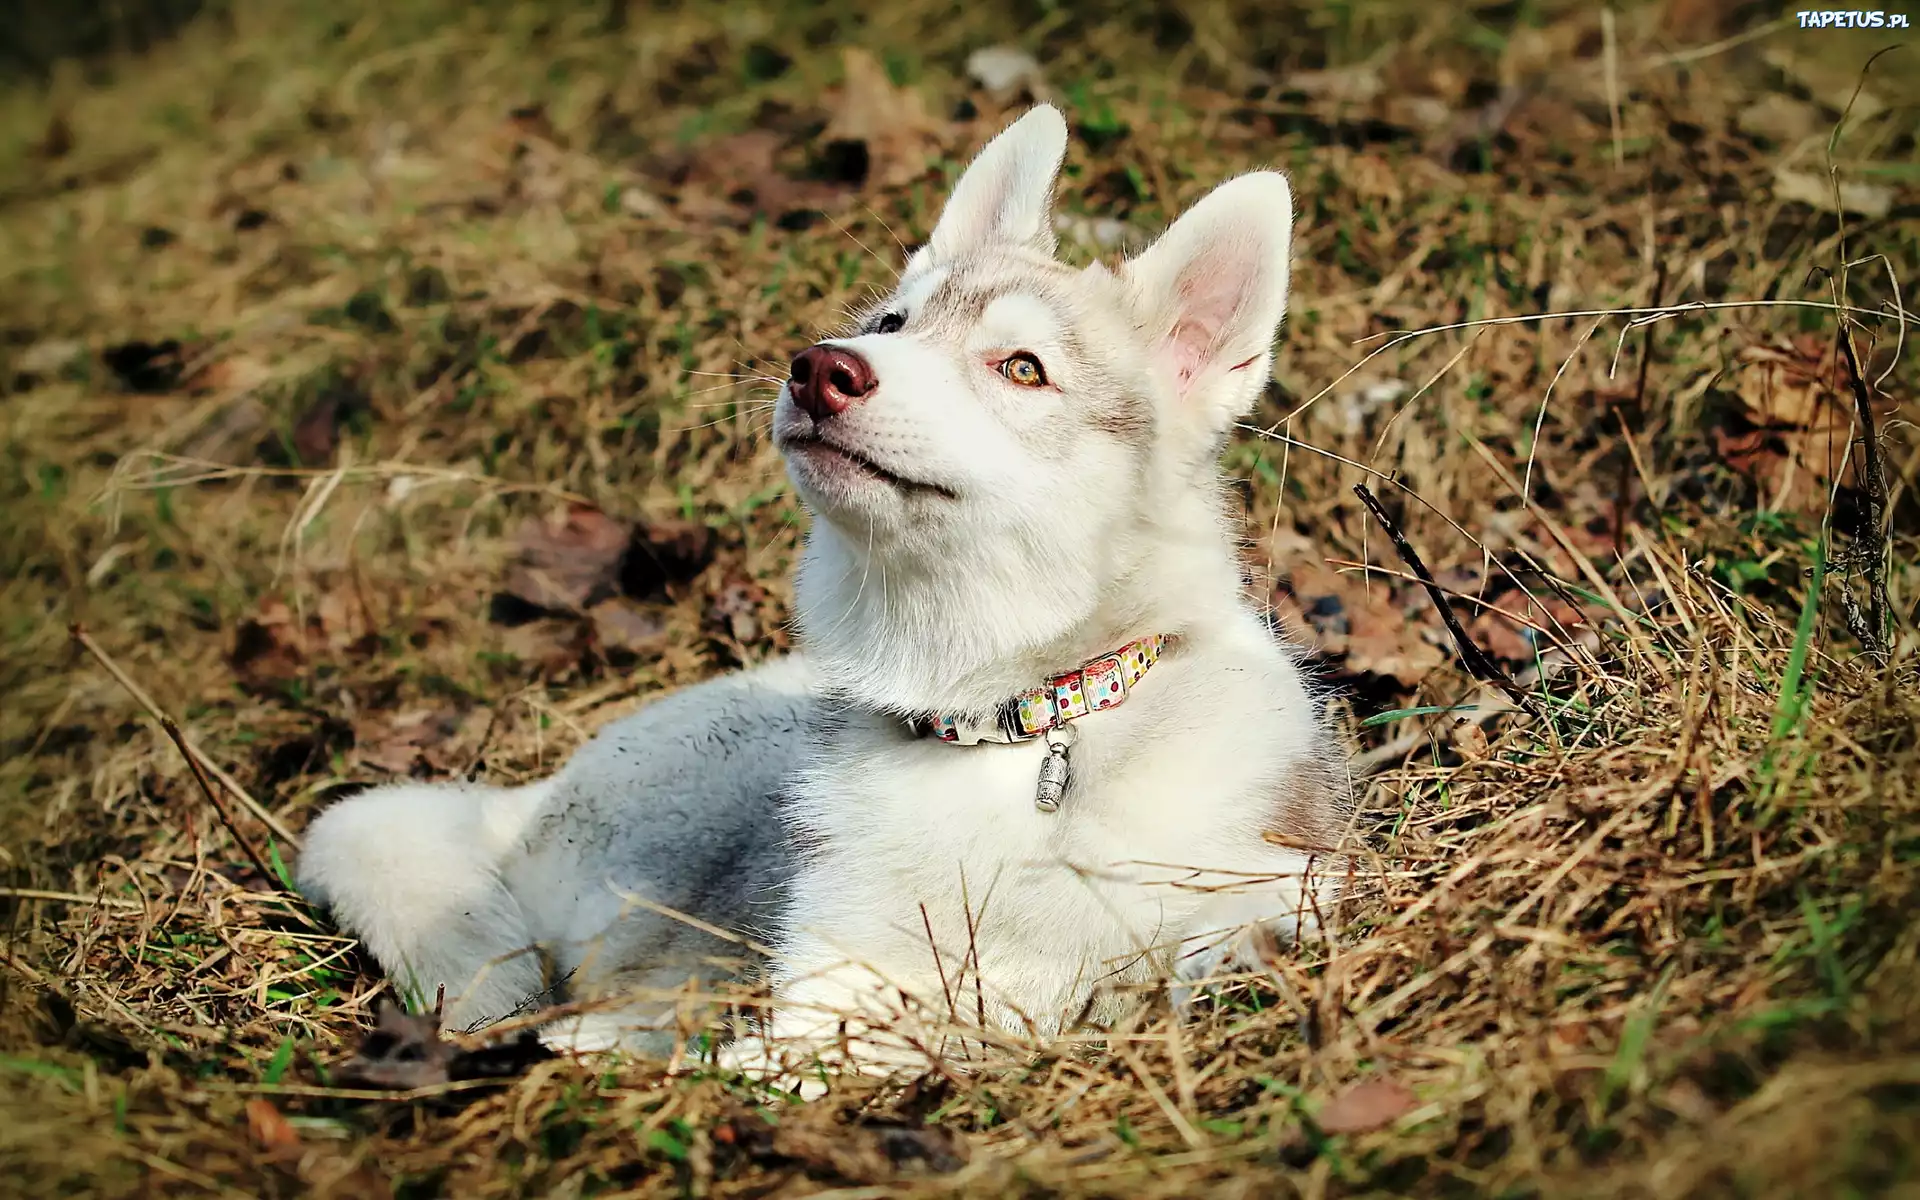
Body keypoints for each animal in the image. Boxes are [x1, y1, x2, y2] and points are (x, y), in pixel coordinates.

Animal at [295, 102, 1351, 1075]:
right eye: (891, 325)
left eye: (1022, 369)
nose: (821, 369)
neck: (1020, 725)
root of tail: (529, 793)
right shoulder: (828, 980)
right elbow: (807, 1051)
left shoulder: (1268, 890)